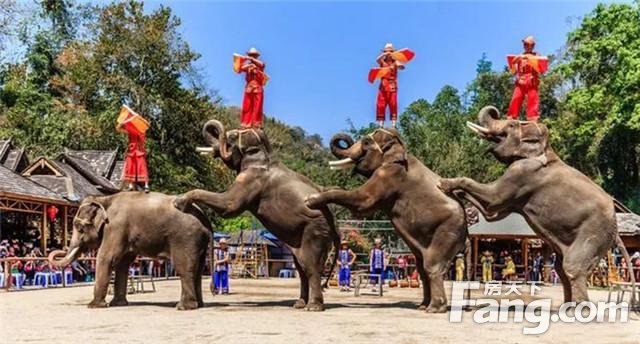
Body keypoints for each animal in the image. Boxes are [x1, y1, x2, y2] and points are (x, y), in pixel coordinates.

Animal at [50, 192, 210, 310]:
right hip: (199, 243)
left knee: (183, 268)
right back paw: (199, 305)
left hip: (185, 238)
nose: (60, 248)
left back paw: (183, 307)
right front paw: (118, 304)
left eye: (80, 228)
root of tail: (205, 223)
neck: (104, 199)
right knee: (198, 270)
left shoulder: (115, 227)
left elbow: (106, 258)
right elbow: (122, 263)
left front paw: (94, 306)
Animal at [172, 120, 338, 312]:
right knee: (301, 267)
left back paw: (313, 307)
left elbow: (229, 207)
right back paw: (299, 304)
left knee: (311, 267)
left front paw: (179, 202)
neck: (263, 153)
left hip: (315, 231)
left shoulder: (250, 180)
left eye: (232, 136)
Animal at [304, 127, 464, 314]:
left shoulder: (388, 174)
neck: (400, 148)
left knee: (432, 267)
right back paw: (422, 306)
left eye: (366, 142)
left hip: (447, 232)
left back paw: (434, 309)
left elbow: (363, 201)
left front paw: (310, 200)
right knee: (422, 267)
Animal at [438, 105, 636, 306]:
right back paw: (565, 308)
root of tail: (616, 229)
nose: (495, 112)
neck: (546, 147)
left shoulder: (523, 173)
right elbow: (492, 213)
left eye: (510, 125)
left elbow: (493, 199)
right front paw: (459, 197)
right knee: (561, 269)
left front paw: (443, 184)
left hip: (594, 233)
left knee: (572, 268)